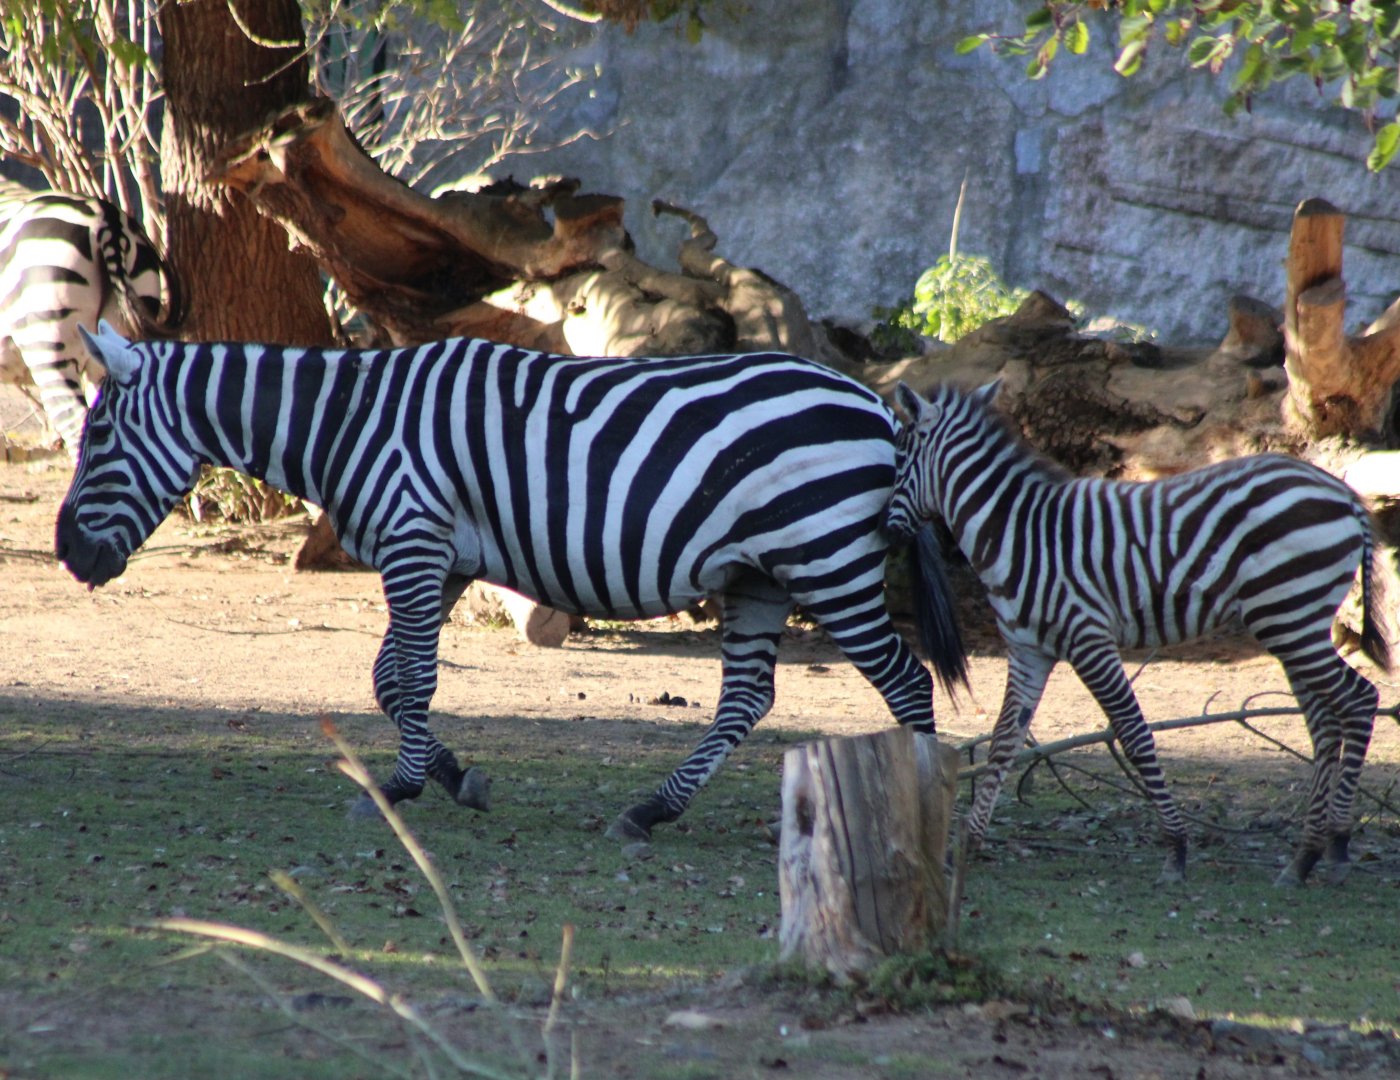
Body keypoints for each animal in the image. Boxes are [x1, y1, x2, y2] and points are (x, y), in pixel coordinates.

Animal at [55, 322, 968, 840]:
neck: (351, 422)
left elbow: (414, 677)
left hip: (827, 559)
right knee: (748, 698)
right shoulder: (447, 558)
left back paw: (926, 815)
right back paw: (652, 810)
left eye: (96, 437)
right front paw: (457, 779)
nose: (67, 554)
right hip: (760, 576)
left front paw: (399, 788)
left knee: (907, 683)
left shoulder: (414, 541)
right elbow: (389, 679)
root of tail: (876, 406)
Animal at [886, 378, 1392, 886]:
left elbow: (1133, 734)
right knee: (1325, 721)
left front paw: (1176, 849)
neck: (1019, 534)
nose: (884, 528)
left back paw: (1336, 844)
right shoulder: (1029, 649)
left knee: (1359, 700)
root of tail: (1343, 493)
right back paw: (1305, 855)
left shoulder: (1088, 638)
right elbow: (1004, 739)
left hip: (1291, 616)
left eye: (900, 456)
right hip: (1291, 621)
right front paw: (967, 844)